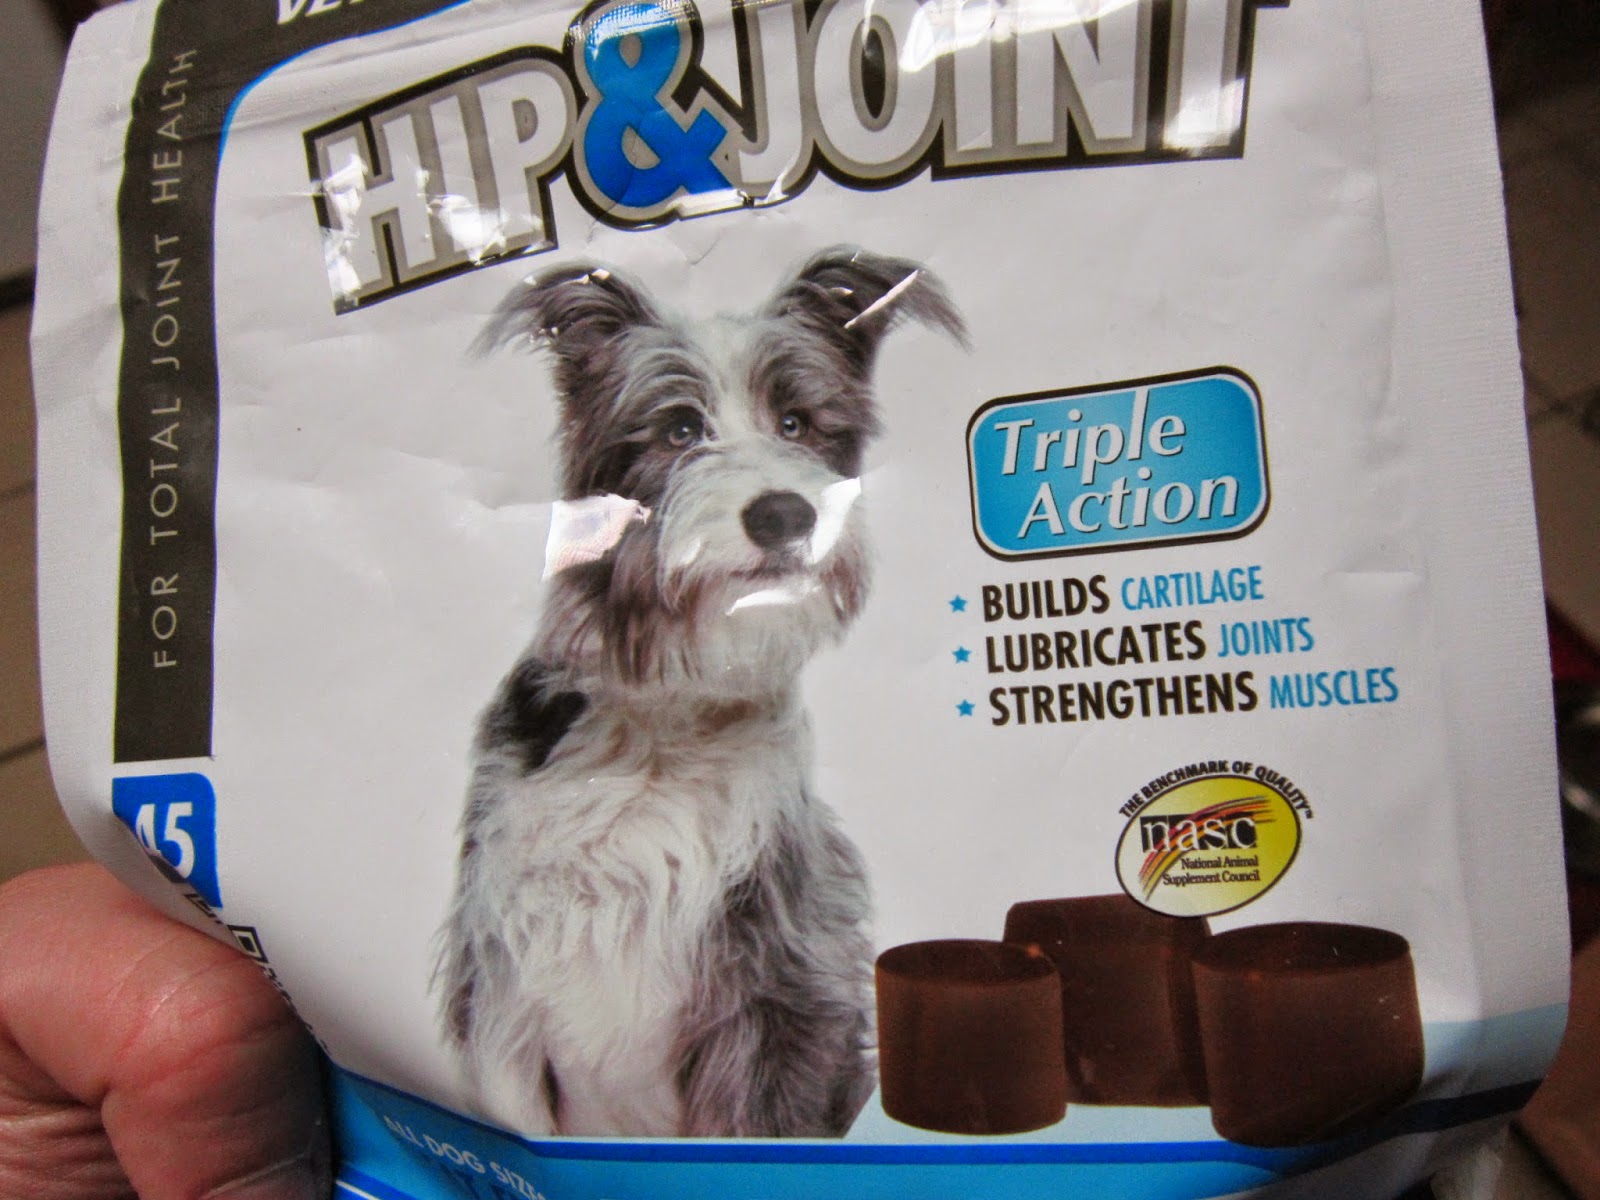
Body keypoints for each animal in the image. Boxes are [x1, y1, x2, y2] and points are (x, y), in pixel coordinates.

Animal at [436, 247, 964, 1139]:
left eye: (796, 424)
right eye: (680, 430)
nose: (785, 514)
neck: (666, 724)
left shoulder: (779, 998)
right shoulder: (504, 1004)